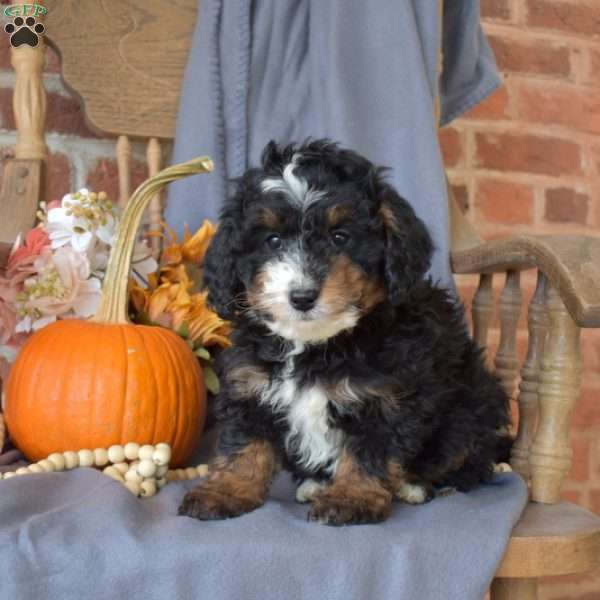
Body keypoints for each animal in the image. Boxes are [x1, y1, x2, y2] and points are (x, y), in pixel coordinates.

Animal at [178, 139, 510, 524]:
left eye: (340, 237)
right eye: (272, 241)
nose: (302, 296)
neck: (316, 342)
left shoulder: (383, 396)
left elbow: (369, 450)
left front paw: (352, 498)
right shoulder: (251, 387)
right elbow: (244, 444)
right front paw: (225, 490)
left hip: (472, 407)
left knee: (466, 459)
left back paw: (415, 485)